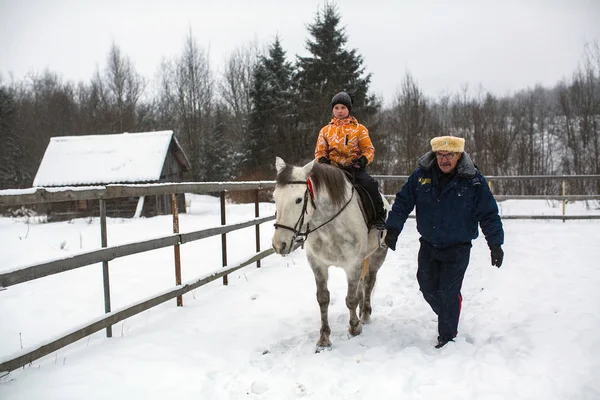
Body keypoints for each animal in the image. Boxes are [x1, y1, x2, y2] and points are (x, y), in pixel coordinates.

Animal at [272, 158, 390, 352]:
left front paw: (354, 328)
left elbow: (351, 299)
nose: (279, 244)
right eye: (274, 198)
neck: (330, 224)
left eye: (298, 199)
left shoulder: (352, 265)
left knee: (368, 283)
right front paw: (324, 338)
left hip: (378, 255)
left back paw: (365, 315)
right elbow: (323, 299)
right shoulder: (318, 264)